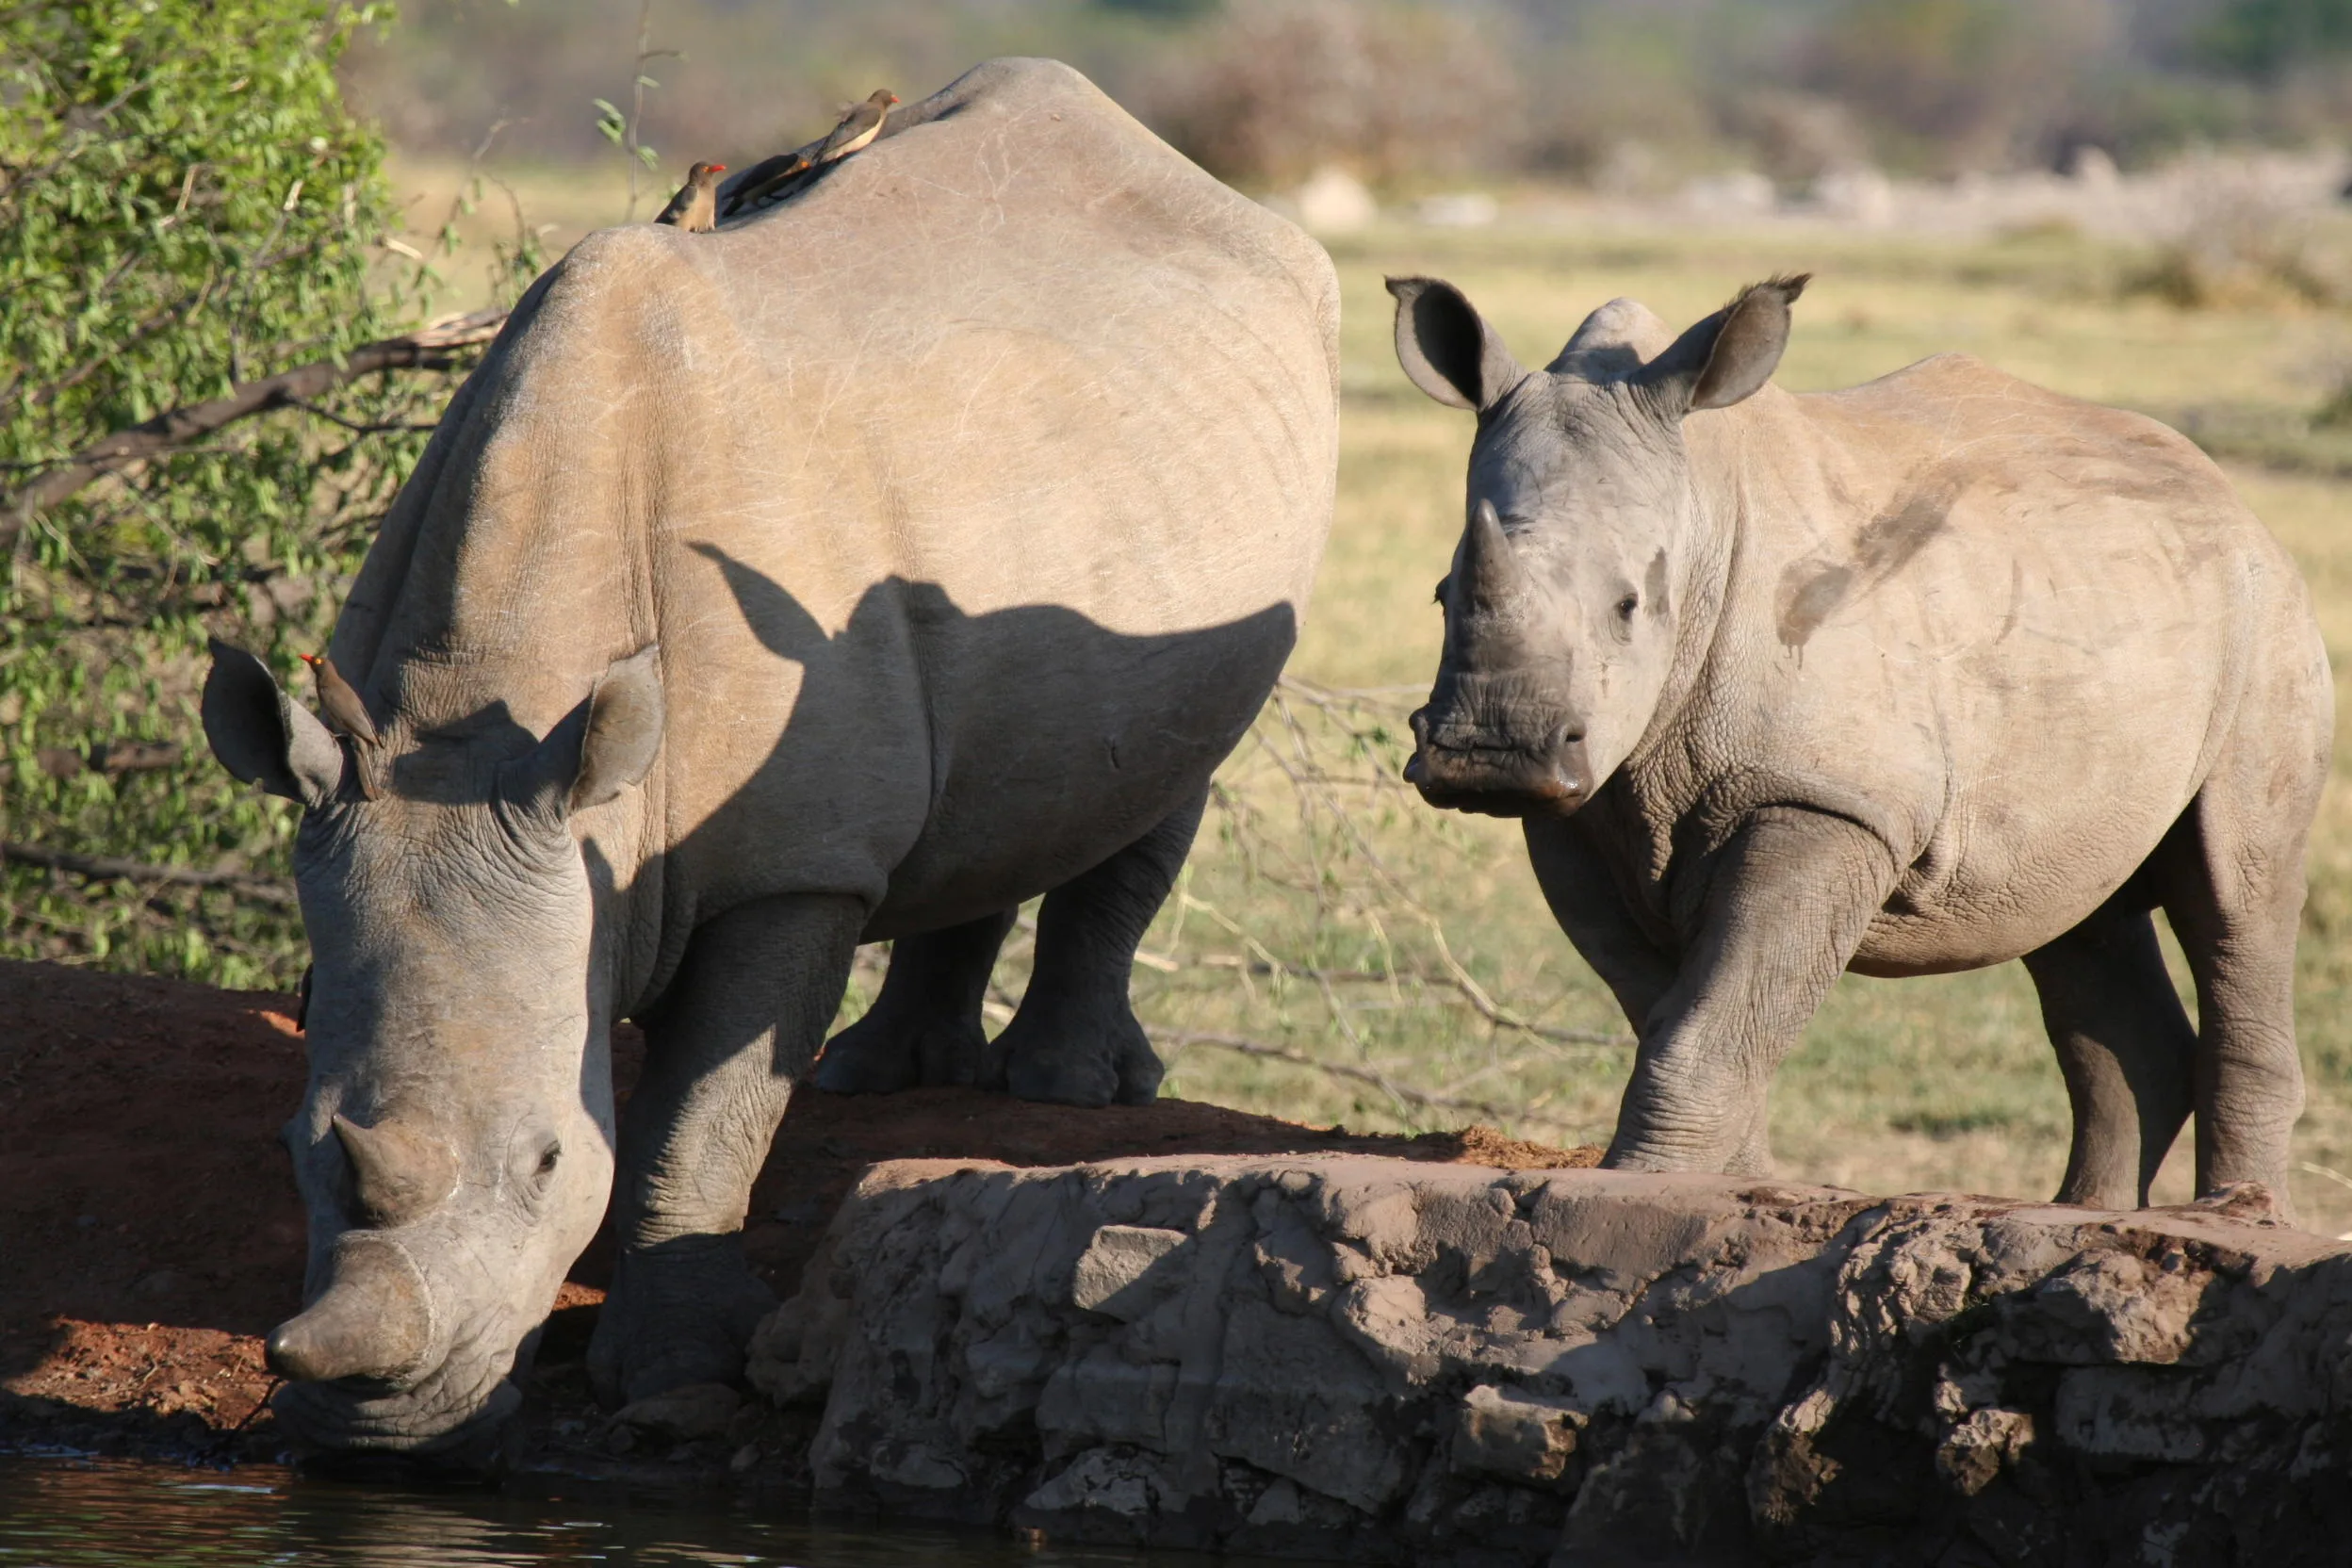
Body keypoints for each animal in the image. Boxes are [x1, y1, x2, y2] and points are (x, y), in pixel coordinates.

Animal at [198, 59, 1338, 1455]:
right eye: (296, 1146)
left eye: (548, 1163)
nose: (378, 1419)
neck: (483, 719)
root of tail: (1179, 167)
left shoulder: (791, 865)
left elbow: (706, 1120)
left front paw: (677, 1376)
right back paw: (881, 1074)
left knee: (1169, 773)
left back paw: (1069, 1088)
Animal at [1387, 272, 2329, 1213]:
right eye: (1439, 595)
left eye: (1629, 605)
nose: (1489, 756)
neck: (1704, 509)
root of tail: (2234, 502)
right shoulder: (1576, 817)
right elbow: (1675, 1013)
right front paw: (1729, 1185)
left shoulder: (1827, 797)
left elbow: (1714, 1017)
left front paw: (1642, 1189)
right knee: (2078, 915)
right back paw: (2083, 1211)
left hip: (2266, 619)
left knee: (2237, 894)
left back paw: (2234, 1212)